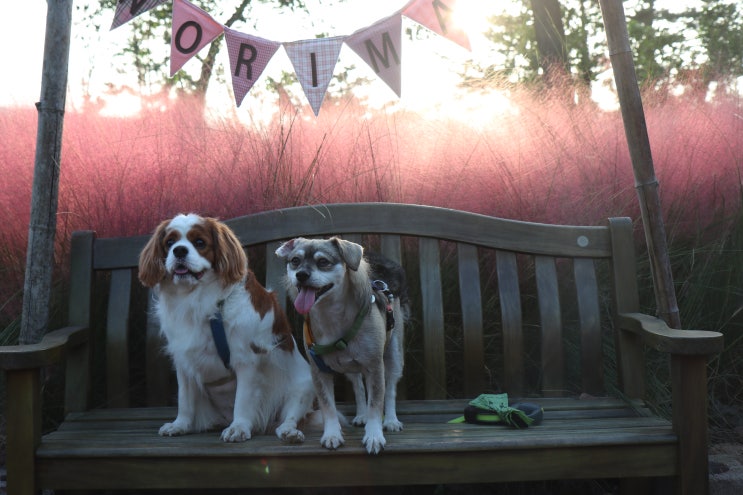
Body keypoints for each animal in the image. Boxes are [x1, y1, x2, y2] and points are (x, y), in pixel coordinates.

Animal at [278, 238, 410, 456]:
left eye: (323, 262)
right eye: (295, 261)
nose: (301, 275)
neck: (332, 318)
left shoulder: (375, 367)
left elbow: (376, 403)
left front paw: (374, 435)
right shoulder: (319, 372)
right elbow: (328, 406)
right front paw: (332, 434)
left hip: (394, 356)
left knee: (390, 388)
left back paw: (391, 420)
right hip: (351, 366)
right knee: (358, 387)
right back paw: (361, 414)